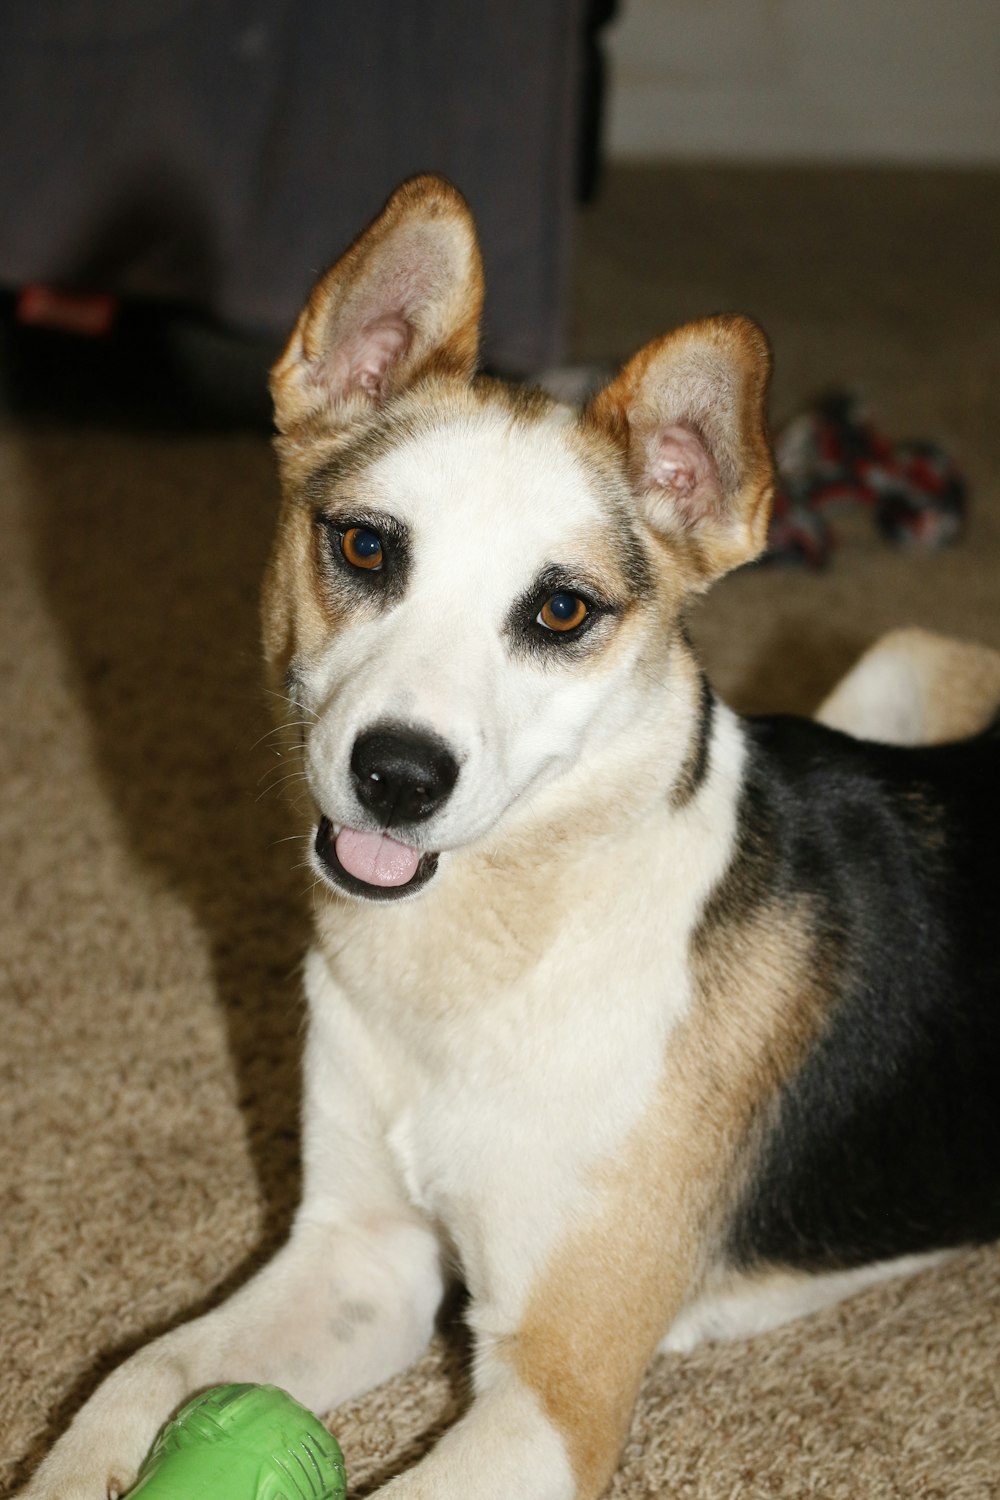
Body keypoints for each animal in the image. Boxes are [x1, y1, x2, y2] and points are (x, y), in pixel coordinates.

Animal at [23, 181, 1000, 1500]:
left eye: (561, 610)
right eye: (365, 545)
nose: (396, 776)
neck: (487, 949)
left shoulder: (553, 1393)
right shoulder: (362, 1256)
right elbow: (144, 1372)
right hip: (893, 666)